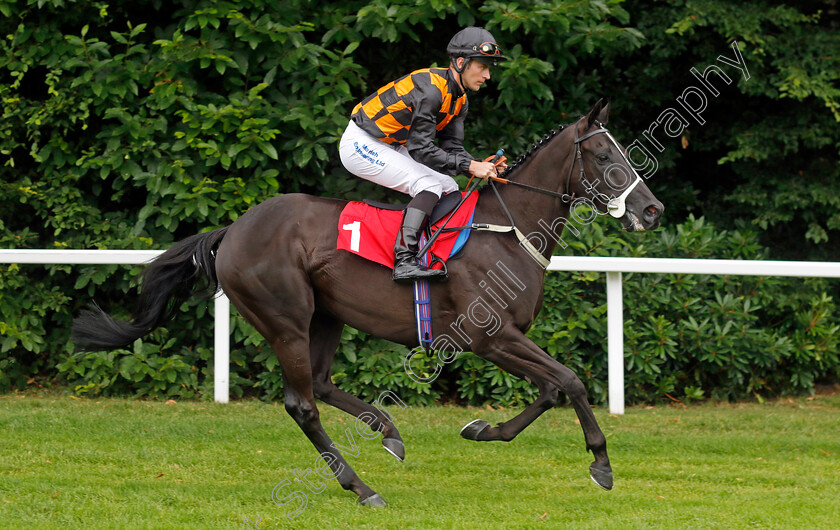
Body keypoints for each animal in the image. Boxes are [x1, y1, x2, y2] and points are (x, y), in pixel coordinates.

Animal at [72, 98, 664, 504]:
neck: (506, 228)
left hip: (328, 316)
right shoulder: (489, 336)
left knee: (322, 383)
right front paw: (602, 464)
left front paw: (482, 429)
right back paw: (361, 487)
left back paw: (388, 433)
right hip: (286, 319)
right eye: (605, 153)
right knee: (302, 402)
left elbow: (550, 389)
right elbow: (569, 381)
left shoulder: (503, 339)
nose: (652, 210)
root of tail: (233, 230)